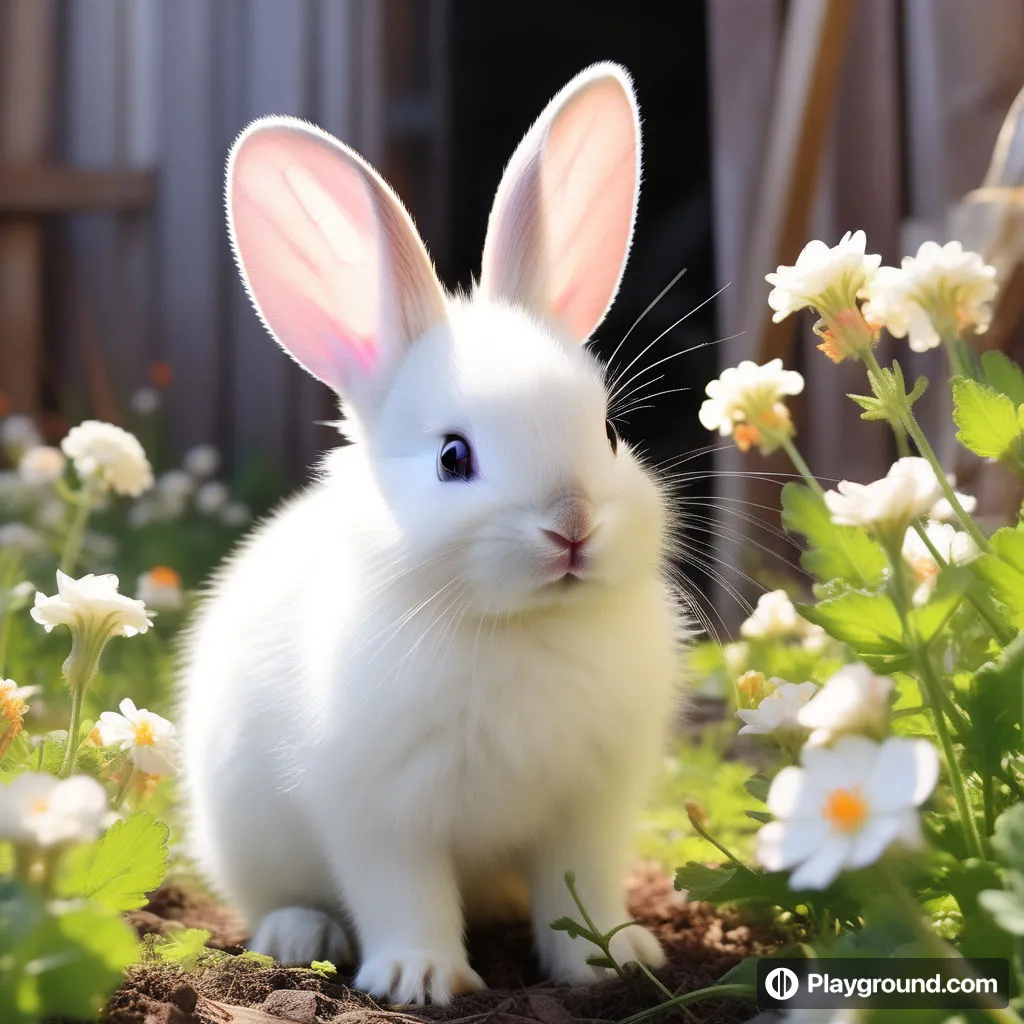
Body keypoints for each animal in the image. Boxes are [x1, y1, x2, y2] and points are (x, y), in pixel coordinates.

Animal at [181, 59, 692, 1003]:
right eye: (454, 457)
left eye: (608, 433)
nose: (570, 528)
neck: (518, 628)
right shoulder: (379, 811)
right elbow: (402, 893)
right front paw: (420, 978)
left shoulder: (591, 805)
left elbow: (581, 885)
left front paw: (613, 961)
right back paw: (298, 930)